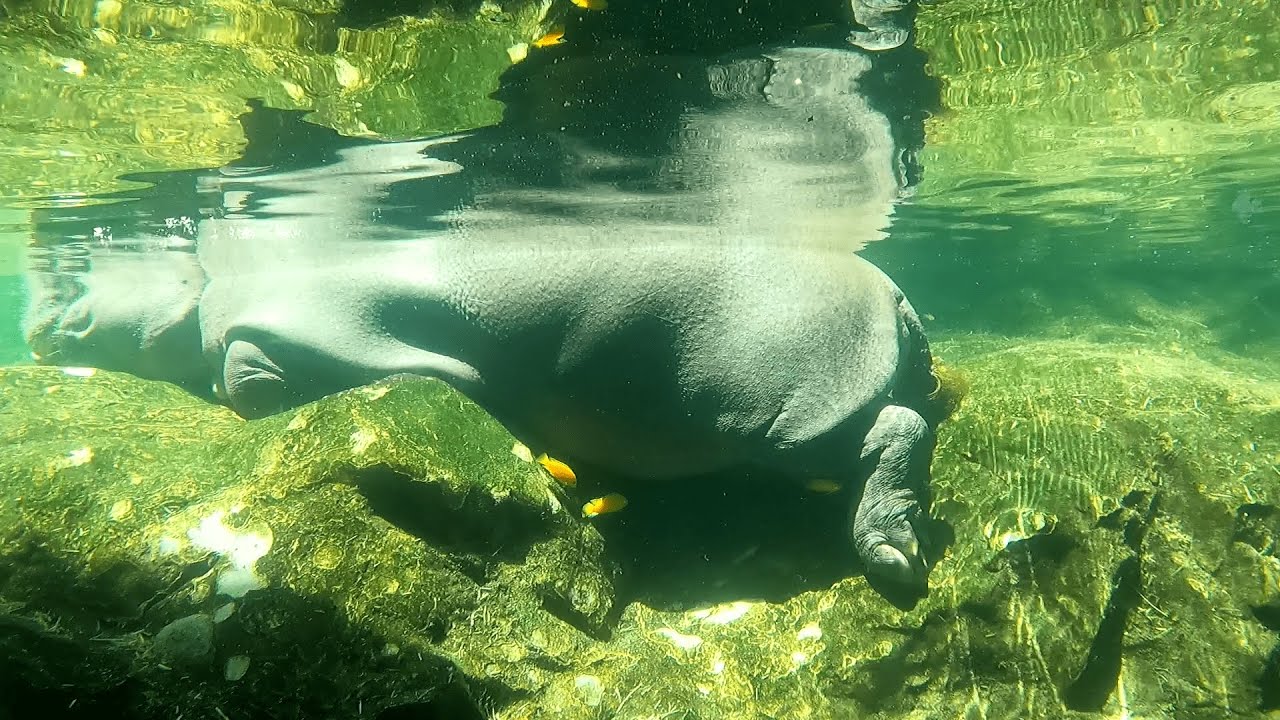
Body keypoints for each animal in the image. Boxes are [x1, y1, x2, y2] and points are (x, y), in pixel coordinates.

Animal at [25, 41, 944, 601]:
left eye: (70, 284)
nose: (36, 314)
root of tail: (893, 298)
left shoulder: (323, 317)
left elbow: (250, 369)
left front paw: (242, 388)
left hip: (781, 419)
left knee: (890, 432)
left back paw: (894, 561)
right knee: (910, 410)